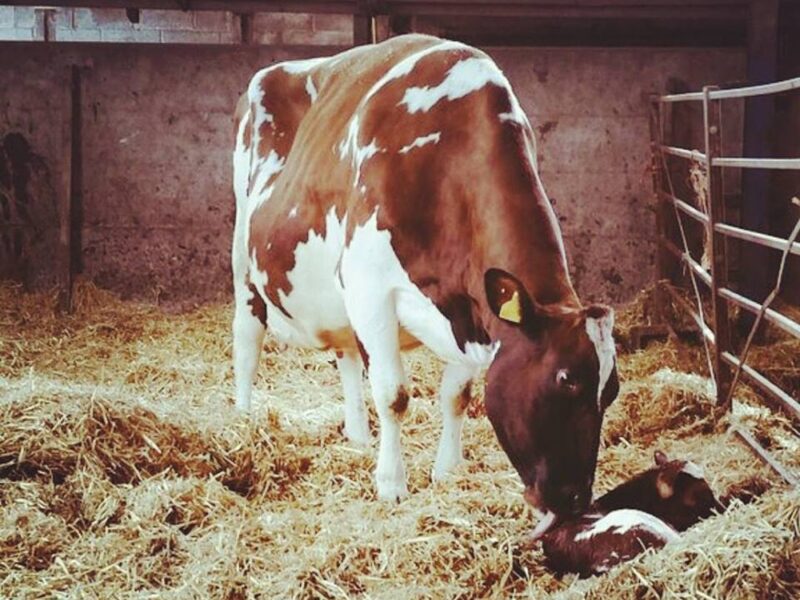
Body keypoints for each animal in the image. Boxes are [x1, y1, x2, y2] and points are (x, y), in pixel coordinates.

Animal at [231, 34, 620, 516]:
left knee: (344, 352)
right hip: (244, 258)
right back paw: (244, 422)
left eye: (613, 390)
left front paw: (447, 470)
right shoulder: (370, 288)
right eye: (566, 379)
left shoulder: (470, 308)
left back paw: (358, 437)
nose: (576, 499)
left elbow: (456, 394)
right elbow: (393, 394)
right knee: (247, 341)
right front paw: (391, 483)